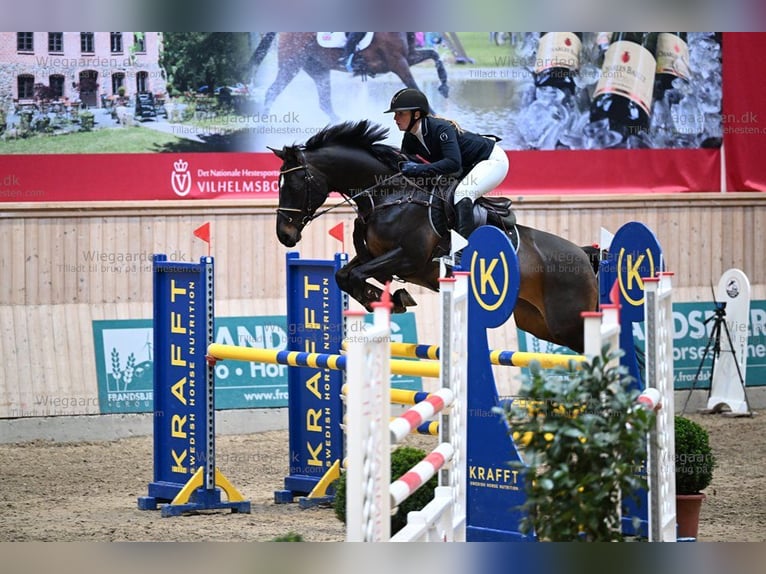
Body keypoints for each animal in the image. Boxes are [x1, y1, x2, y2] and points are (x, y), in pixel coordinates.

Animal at [252, 33, 450, 122]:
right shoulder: (398, 63)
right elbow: (414, 87)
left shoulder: (409, 57)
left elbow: (435, 56)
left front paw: (444, 87)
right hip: (291, 65)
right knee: (271, 92)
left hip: (319, 70)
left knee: (324, 103)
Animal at [272, 122, 604, 356]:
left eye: (295, 184)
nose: (284, 236)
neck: (389, 196)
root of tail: (581, 255)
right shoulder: (371, 255)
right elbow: (344, 275)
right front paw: (388, 298)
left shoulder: (408, 258)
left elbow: (357, 275)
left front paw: (392, 299)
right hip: (538, 323)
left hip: (569, 323)